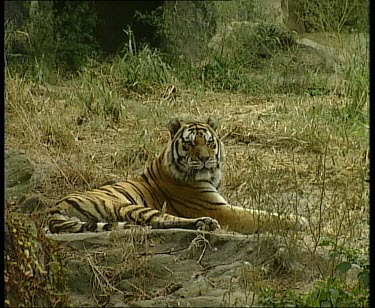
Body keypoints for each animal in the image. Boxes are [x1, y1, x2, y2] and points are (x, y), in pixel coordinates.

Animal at [46, 116, 308, 235]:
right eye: (190, 143)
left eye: (209, 142)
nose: (204, 158)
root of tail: (53, 210)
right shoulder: (218, 209)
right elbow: (259, 215)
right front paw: (299, 221)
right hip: (124, 205)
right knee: (163, 220)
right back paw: (205, 223)